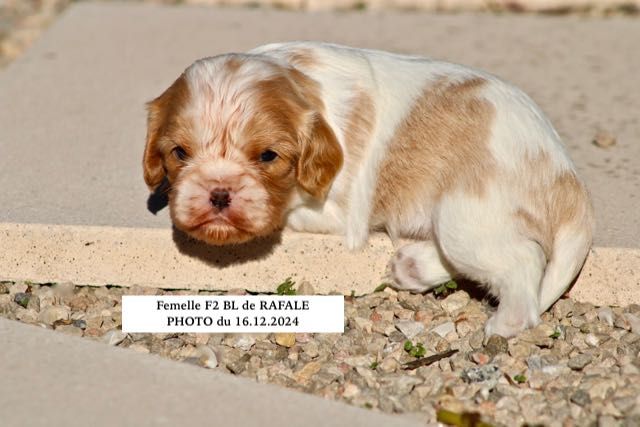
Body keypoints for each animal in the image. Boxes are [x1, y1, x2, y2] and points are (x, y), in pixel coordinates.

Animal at [142, 41, 592, 338]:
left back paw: (504, 324)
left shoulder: (340, 211)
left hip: (466, 218)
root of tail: (568, 179)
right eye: (179, 152)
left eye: (268, 156)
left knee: (522, 262)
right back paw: (413, 267)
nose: (218, 194)